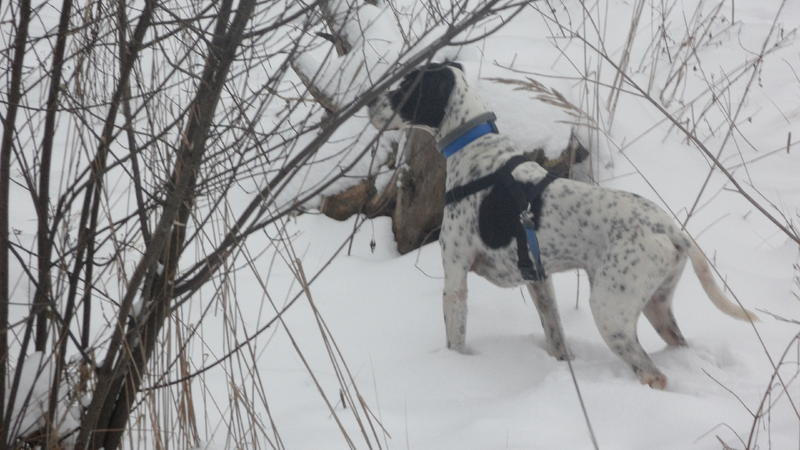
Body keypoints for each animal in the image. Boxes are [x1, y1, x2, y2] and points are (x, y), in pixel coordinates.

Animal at [368, 61, 756, 388]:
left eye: (406, 87)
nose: (370, 102)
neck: (474, 146)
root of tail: (670, 229)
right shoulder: (539, 279)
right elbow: (555, 334)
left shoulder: (455, 277)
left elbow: (456, 338)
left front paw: (454, 368)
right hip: (657, 306)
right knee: (677, 345)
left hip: (610, 311)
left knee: (653, 374)